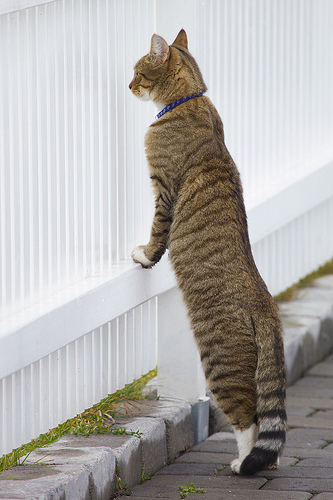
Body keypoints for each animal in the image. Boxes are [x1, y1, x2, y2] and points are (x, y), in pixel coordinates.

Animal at [128, 29, 286, 474]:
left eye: (137, 72)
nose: (128, 86)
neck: (190, 99)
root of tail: (267, 308)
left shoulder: (164, 191)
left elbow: (157, 234)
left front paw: (144, 255)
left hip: (220, 363)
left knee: (249, 417)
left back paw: (244, 461)